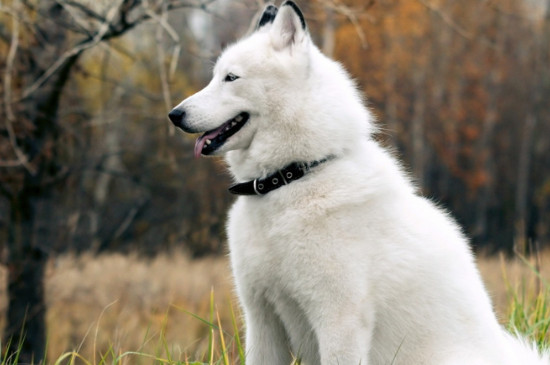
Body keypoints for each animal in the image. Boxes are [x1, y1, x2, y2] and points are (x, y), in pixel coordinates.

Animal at [168, 1, 550, 362]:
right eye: (215, 76)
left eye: (231, 77)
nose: (174, 114)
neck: (292, 179)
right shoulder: (262, 319)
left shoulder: (339, 320)